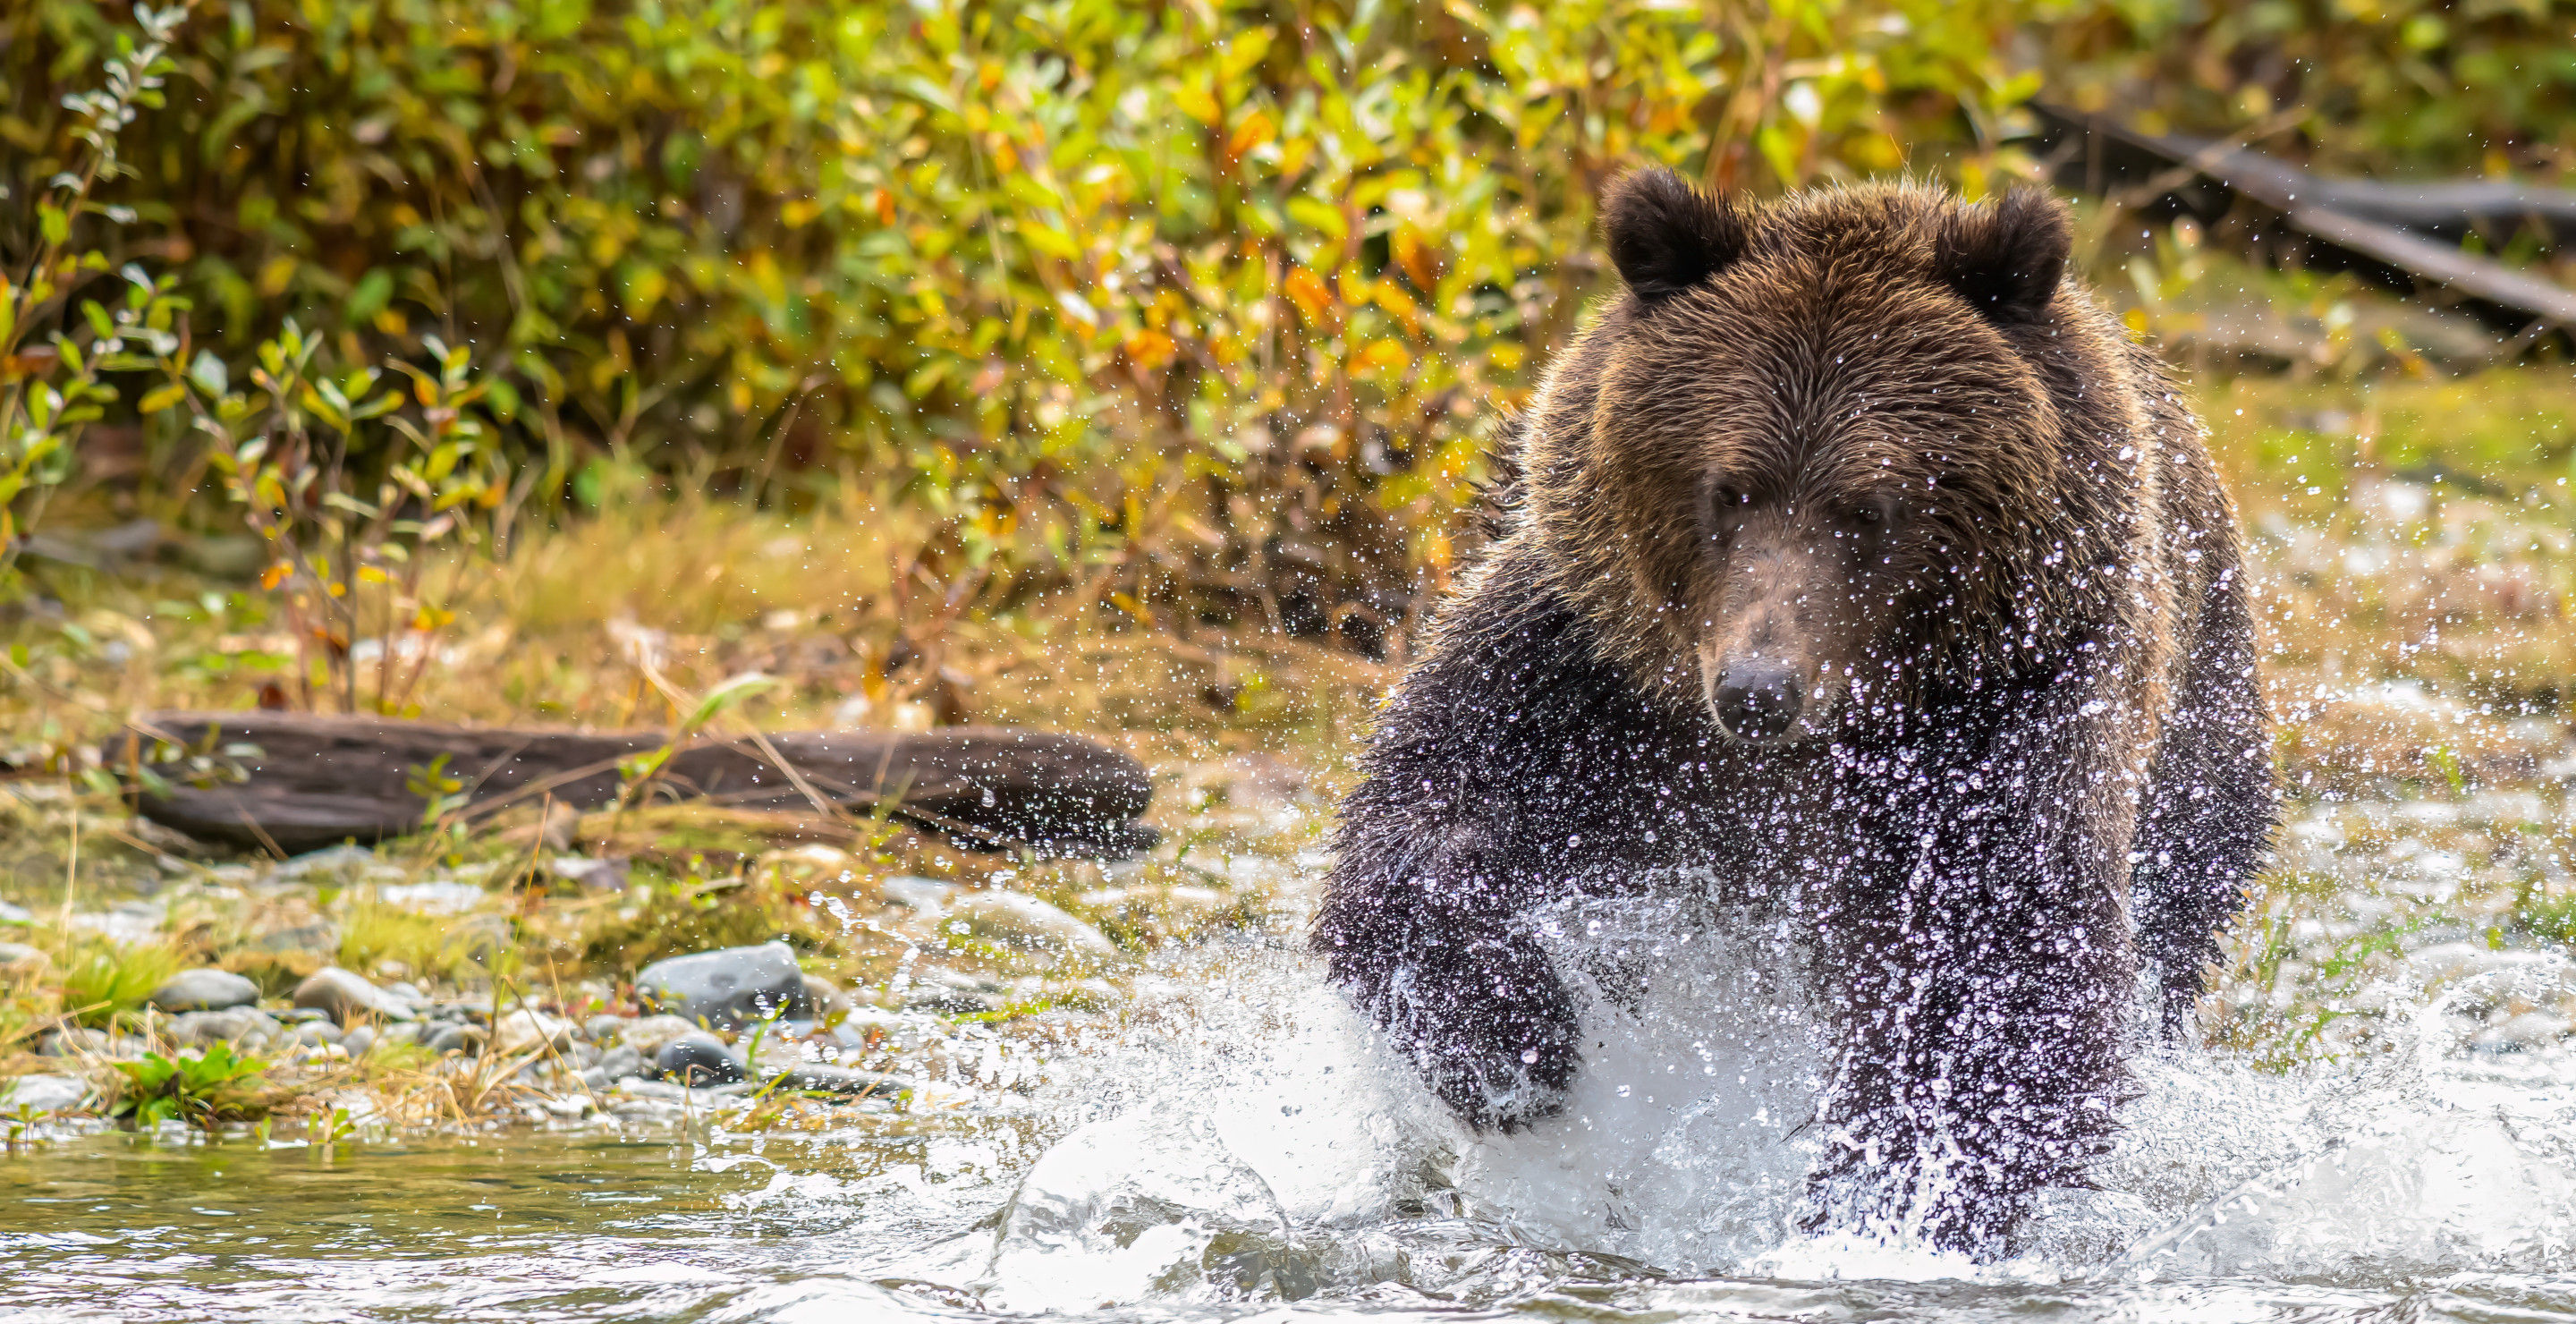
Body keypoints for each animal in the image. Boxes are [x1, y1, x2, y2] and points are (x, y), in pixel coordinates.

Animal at [1318, 167, 2267, 1246]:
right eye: (1728, 489)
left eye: (1869, 507)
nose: (1758, 690)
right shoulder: (1590, 674)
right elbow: (1422, 816)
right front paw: (1512, 1044)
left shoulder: (2002, 722)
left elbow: (1988, 973)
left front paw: (1892, 1203)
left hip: (2196, 738)